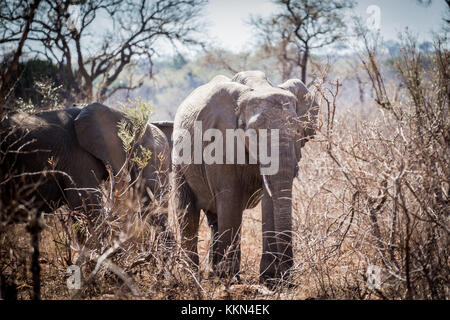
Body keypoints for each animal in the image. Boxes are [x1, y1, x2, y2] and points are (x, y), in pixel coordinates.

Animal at [172, 70, 320, 284]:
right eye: (254, 133)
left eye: (299, 130)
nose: (289, 279)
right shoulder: (219, 141)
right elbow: (230, 195)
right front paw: (230, 279)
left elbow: (269, 198)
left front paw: (270, 280)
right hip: (179, 163)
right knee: (187, 215)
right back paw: (192, 275)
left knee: (214, 219)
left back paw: (212, 273)